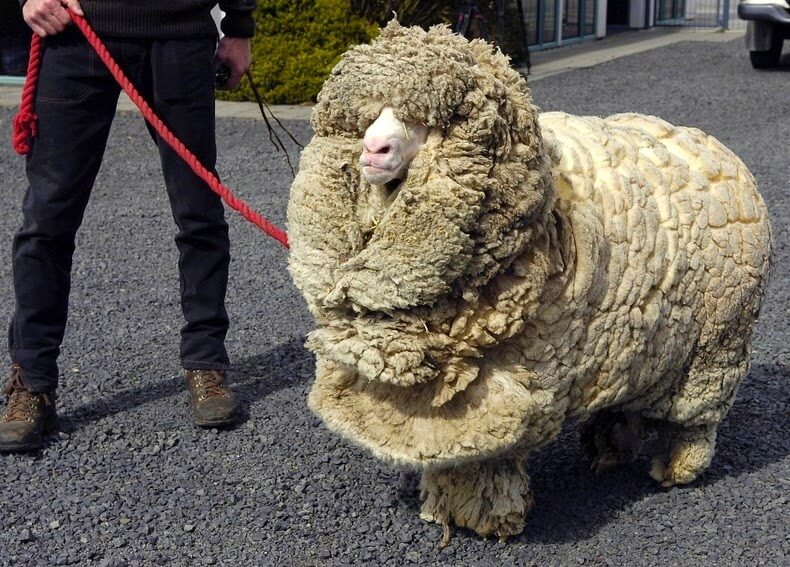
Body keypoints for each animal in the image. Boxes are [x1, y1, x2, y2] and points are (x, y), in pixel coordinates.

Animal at [286, 21, 773, 541]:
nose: (372, 150)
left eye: (425, 122)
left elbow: (489, 454)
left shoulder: (515, 383)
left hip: (715, 348)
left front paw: (486, 515)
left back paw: (678, 466)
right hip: (647, 340)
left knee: (696, 418)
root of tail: (718, 149)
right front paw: (446, 504)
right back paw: (610, 445)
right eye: (370, 118)